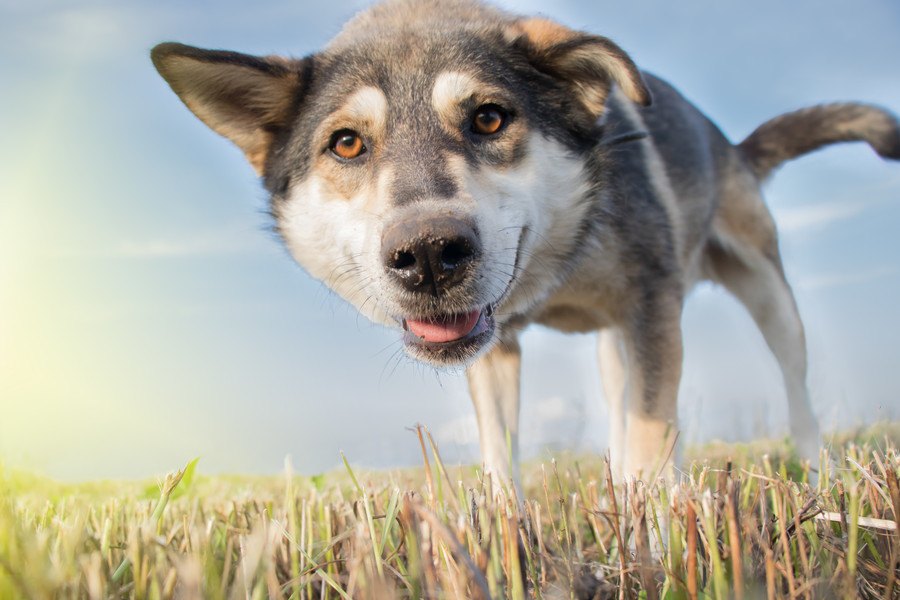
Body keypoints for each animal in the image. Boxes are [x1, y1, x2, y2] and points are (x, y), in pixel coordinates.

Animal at [151, 0, 896, 488]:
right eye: (347, 143)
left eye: (489, 117)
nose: (427, 254)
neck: (557, 268)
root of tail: (730, 145)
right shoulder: (498, 349)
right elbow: (501, 460)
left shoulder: (653, 307)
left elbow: (654, 434)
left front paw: (657, 551)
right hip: (614, 348)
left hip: (769, 297)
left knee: (795, 390)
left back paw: (820, 478)